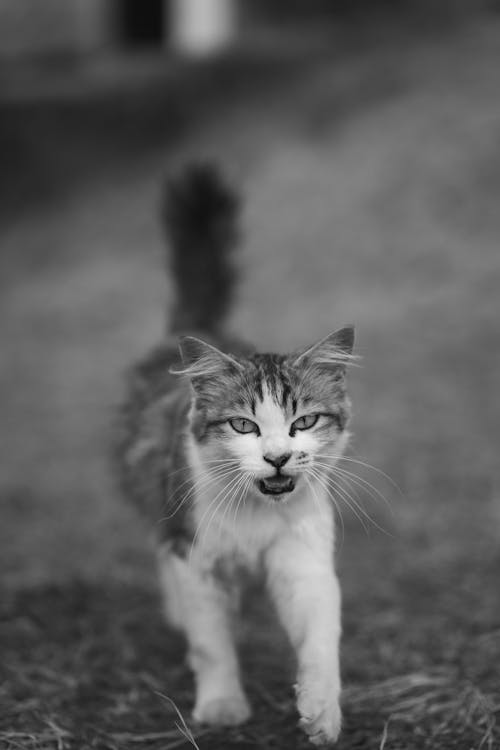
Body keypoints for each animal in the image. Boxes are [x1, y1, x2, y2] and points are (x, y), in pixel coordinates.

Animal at [114, 163, 356, 748]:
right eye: (244, 425)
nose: (277, 457)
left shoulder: (303, 557)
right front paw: (223, 706)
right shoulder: (194, 554)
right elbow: (211, 643)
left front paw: (321, 711)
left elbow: (322, 637)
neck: (257, 514)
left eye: (303, 422)